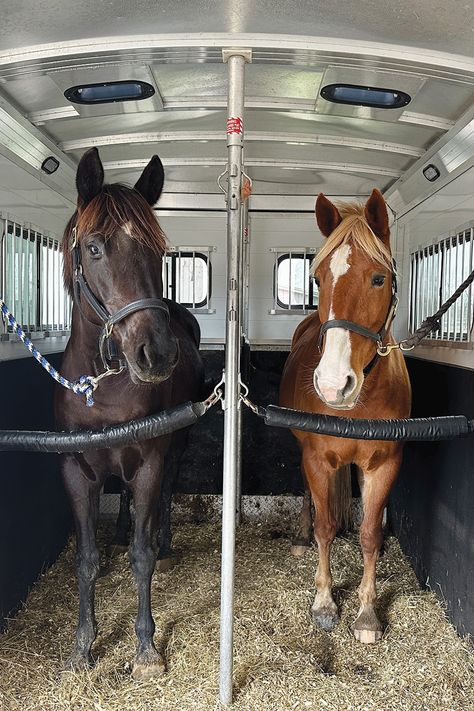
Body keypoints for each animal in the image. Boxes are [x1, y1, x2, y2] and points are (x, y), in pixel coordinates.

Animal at [55, 149, 204, 680]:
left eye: (160, 252)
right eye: (94, 247)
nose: (155, 354)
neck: (102, 388)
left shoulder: (150, 463)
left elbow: (143, 558)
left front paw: (145, 646)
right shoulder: (75, 469)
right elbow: (86, 559)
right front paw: (82, 645)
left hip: (176, 448)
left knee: (166, 497)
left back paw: (166, 539)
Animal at [282, 189, 412, 644]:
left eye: (378, 279)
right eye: (318, 279)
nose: (334, 384)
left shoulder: (385, 464)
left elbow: (369, 534)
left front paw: (367, 612)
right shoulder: (318, 459)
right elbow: (325, 527)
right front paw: (324, 602)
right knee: (309, 499)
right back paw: (301, 534)